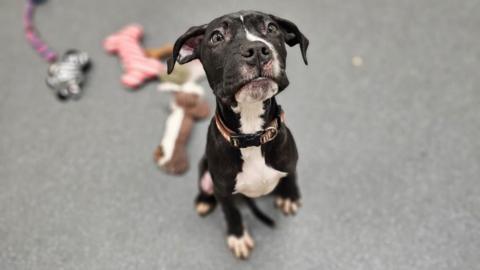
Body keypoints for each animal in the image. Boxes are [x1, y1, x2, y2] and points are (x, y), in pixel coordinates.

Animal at [169, 11, 310, 260]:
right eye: (216, 37)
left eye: (271, 28)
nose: (257, 50)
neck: (252, 134)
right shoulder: (223, 190)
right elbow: (232, 213)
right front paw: (238, 237)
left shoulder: (290, 163)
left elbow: (291, 177)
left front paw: (290, 196)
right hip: (205, 168)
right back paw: (204, 201)